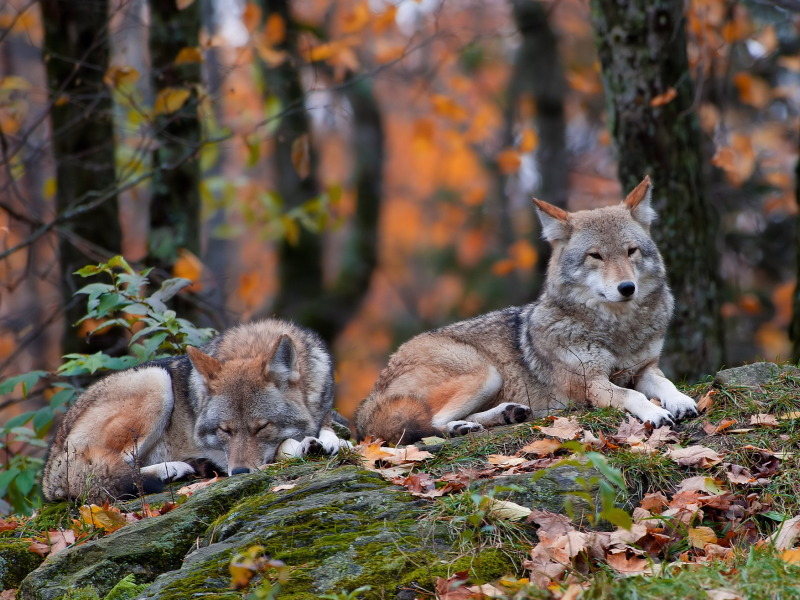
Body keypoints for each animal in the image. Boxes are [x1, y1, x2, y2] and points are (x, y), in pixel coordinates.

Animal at [40, 318, 346, 502]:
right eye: (225, 430)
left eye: (262, 427)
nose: (239, 473)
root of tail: (49, 471)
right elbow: (284, 447)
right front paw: (303, 445)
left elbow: (329, 428)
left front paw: (331, 441)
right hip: (156, 383)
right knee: (108, 473)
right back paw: (172, 469)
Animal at [356, 176, 700, 442]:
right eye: (596, 256)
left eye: (631, 252)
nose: (627, 288)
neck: (617, 331)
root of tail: (370, 396)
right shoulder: (591, 383)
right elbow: (633, 395)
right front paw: (655, 412)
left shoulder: (644, 369)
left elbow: (665, 383)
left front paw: (681, 401)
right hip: (484, 372)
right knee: (430, 424)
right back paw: (460, 427)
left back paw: (506, 413)